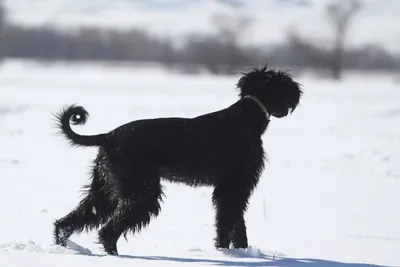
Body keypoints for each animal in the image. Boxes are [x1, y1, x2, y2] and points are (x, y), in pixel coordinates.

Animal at [54, 65, 304, 255]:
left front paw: (242, 252)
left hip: (106, 188)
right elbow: (228, 221)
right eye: (284, 81)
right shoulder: (233, 186)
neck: (247, 118)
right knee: (108, 230)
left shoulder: (235, 187)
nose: (298, 91)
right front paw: (225, 252)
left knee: (76, 218)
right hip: (141, 192)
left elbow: (237, 222)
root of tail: (108, 135)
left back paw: (62, 246)